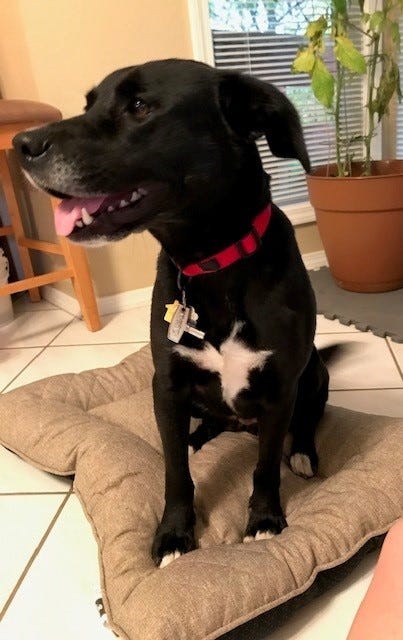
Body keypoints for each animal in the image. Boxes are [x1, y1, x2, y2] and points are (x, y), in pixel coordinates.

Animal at [13, 58, 332, 564]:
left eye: (140, 106)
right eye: (89, 103)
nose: (21, 145)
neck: (209, 264)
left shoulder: (281, 388)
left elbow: (264, 466)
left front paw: (264, 518)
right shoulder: (166, 385)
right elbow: (175, 471)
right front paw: (174, 534)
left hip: (315, 372)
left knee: (304, 423)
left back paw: (301, 453)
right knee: (204, 427)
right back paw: (198, 437)